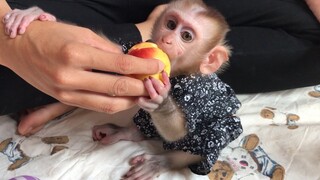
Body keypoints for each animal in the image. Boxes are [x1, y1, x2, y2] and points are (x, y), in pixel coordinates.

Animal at [3, 0, 242, 179]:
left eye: (186, 36)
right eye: (171, 24)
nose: (166, 39)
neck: (178, 73)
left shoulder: (194, 93)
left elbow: (180, 131)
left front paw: (161, 101)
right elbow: (115, 50)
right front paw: (36, 15)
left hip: (224, 128)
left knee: (209, 137)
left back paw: (162, 161)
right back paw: (126, 132)